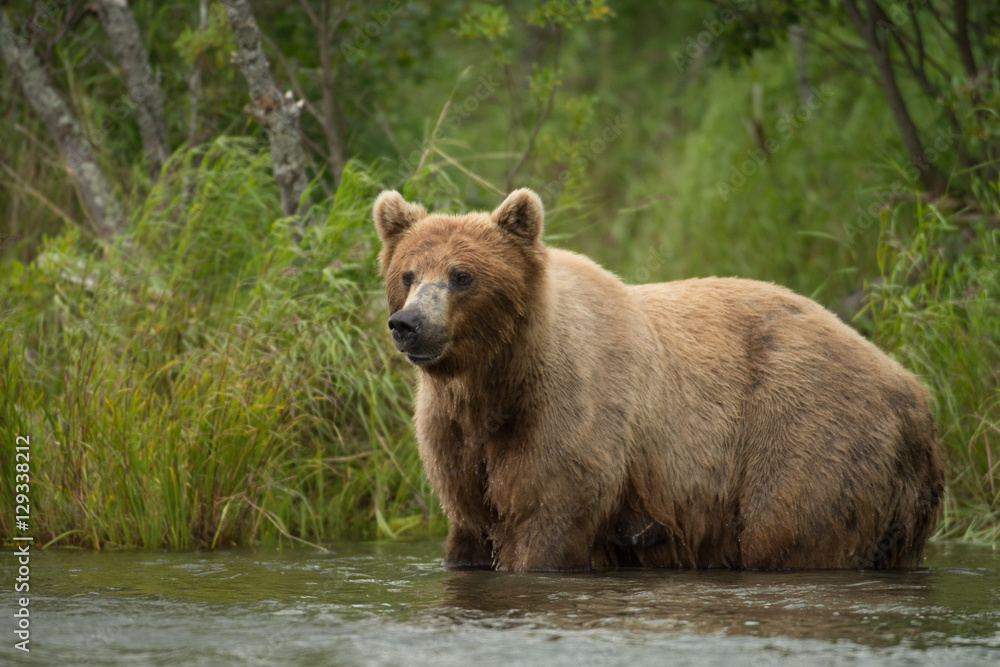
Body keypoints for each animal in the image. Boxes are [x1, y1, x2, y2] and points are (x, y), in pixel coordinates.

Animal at [372, 187, 944, 572]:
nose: (409, 324)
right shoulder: (453, 437)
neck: (495, 378)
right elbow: (468, 524)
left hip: (808, 432)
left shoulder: (569, 414)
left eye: (461, 275)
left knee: (788, 530)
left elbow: (545, 515)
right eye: (407, 273)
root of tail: (916, 392)